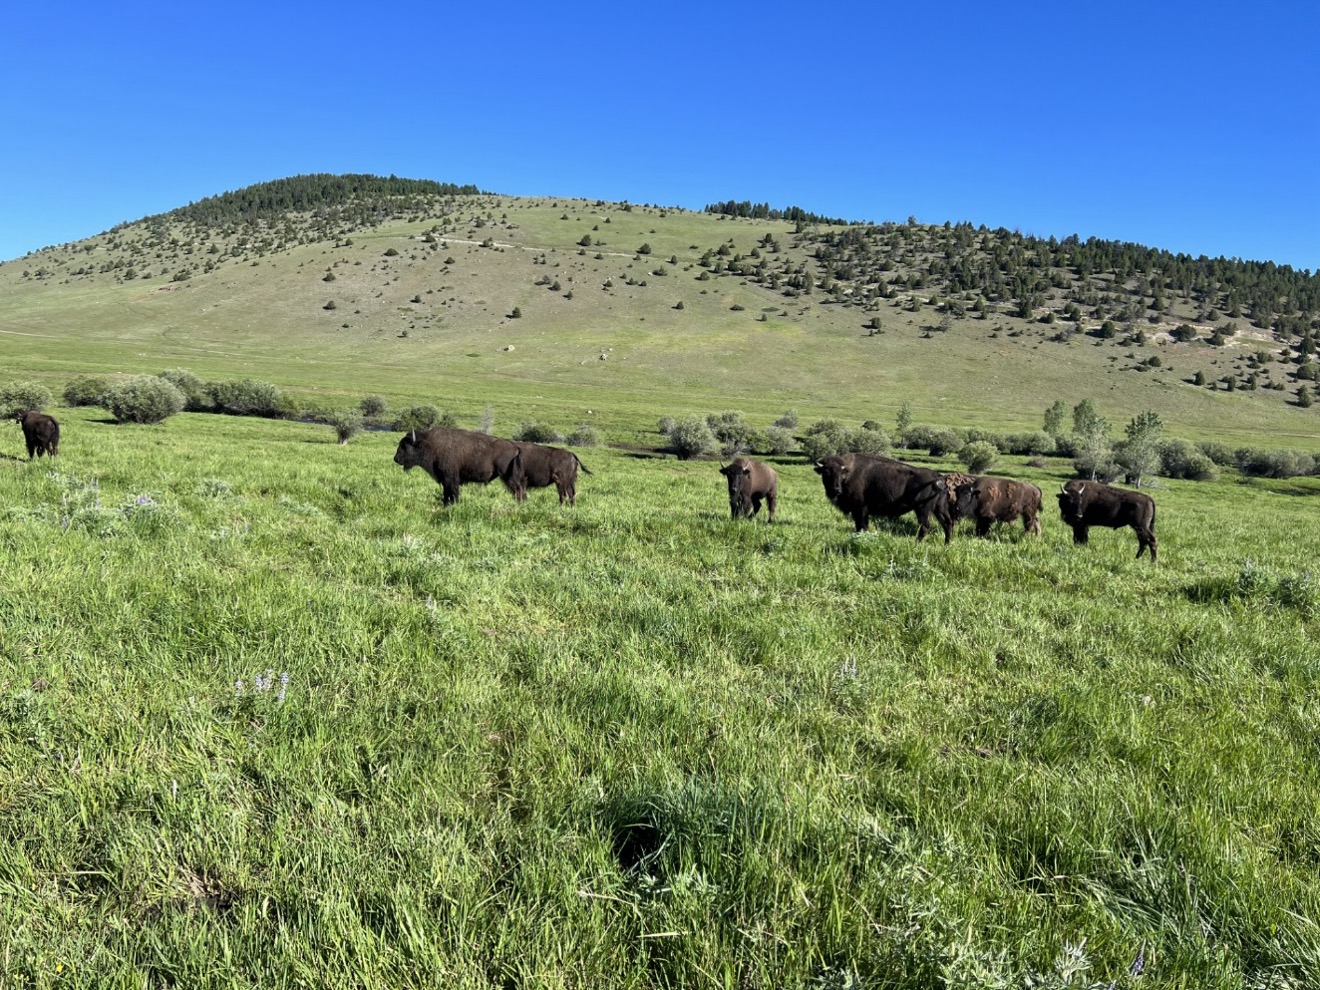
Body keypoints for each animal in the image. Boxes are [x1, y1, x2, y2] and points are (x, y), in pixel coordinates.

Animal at [394, 427, 524, 506]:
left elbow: (452, 492)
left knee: (518, 490)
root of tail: (515, 447)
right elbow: (446, 493)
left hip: (507, 476)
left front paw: (452, 504)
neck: (430, 444)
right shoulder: (445, 480)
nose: (396, 459)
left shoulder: (450, 479)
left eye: (405, 445)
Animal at [814, 453, 953, 542]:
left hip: (922, 509)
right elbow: (861, 526)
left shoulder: (860, 509)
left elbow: (861, 526)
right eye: (826, 472)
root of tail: (937, 475)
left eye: (841, 473)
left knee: (925, 527)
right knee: (947, 523)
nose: (836, 490)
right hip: (938, 508)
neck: (849, 472)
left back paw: (916, 543)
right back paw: (946, 544)